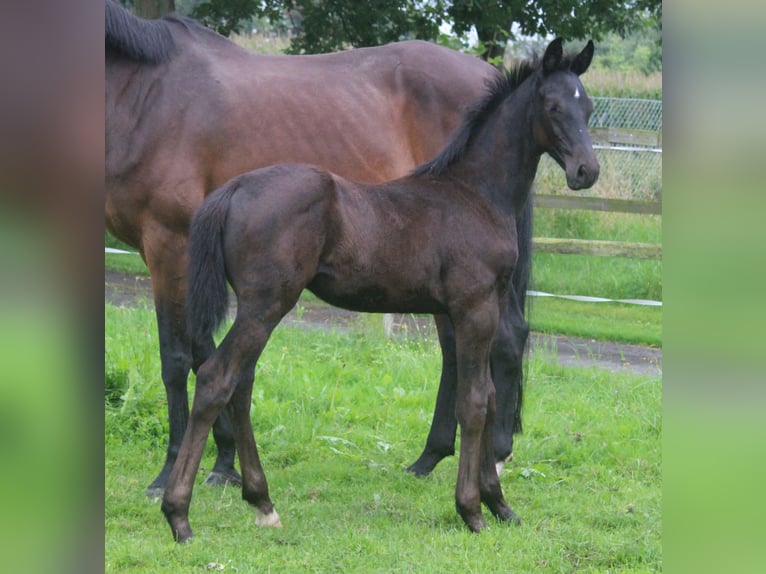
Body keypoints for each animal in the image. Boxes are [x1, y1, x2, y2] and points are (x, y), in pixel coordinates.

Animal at [106, 0, 536, 498]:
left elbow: (177, 359)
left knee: (504, 338)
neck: (148, 96)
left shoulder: (168, 245)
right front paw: (225, 460)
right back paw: (431, 456)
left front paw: (170, 472)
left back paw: (495, 454)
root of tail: (489, 72)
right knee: (458, 347)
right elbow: (206, 354)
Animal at [164, 38, 600, 544]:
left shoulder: (474, 308)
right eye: (552, 106)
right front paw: (471, 510)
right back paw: (179, 515)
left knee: (240, 383)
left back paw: (262, 502)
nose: (587, 171)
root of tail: (232, 190)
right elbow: (473, 402)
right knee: (217, 378)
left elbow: (488, 396)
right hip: (266, 304)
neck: (475, 193)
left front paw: (499, 504)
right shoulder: (473, 307)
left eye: (588, 106)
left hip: (257, 307)